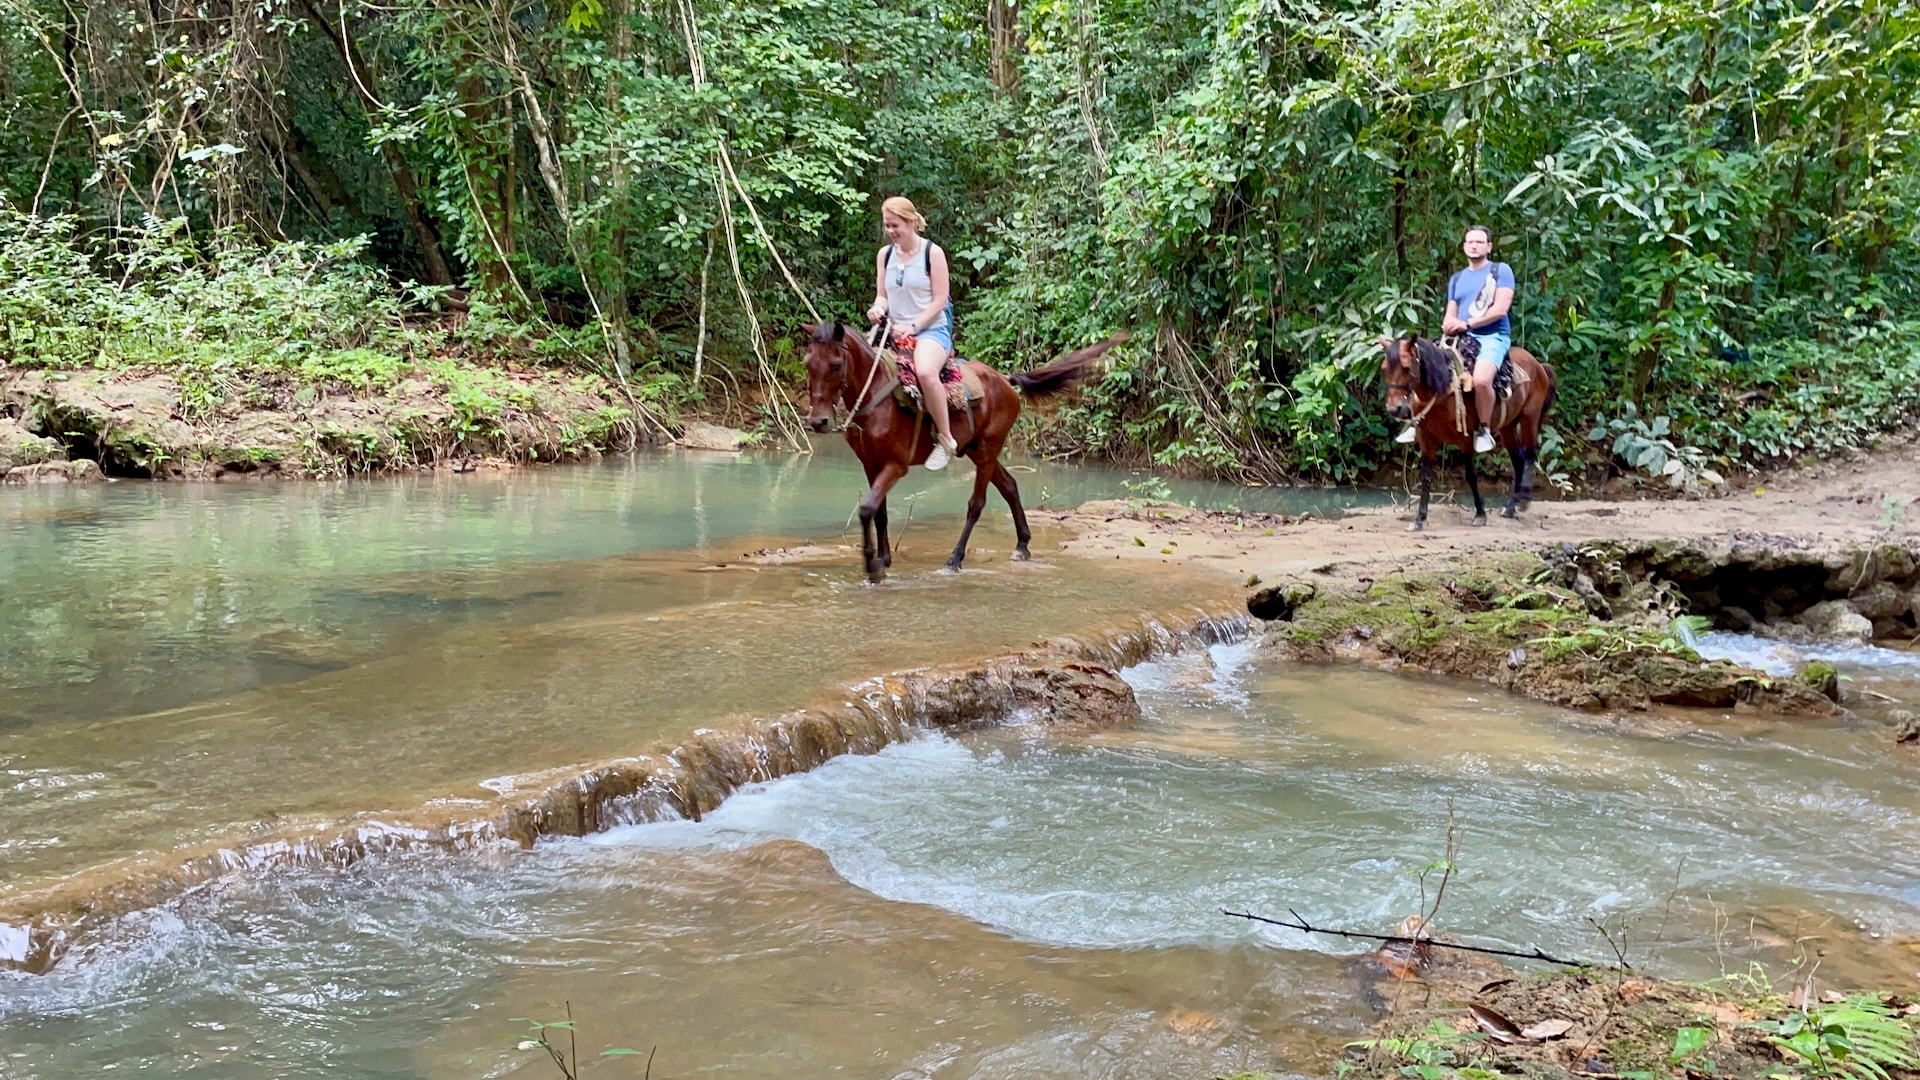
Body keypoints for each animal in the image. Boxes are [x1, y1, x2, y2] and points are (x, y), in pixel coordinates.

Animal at [804, 322, 1123, 583]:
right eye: (807, 364)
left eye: (836, 364)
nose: (818, 421)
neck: (875, 397)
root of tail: (1005, 379)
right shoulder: (870, 463)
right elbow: (879, 511)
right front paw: (884, 559)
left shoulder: (896, 464)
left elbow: (867, 509)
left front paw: (873, 567)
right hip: (974, 448)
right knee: (1010, 486)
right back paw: (1022, 545)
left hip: (990, 446)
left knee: (976, 504)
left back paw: (955, 559)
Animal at [1380, 336, 1557, 531]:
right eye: (1384, 368)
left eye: (1406, 367)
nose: (1395, 409)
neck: (1444, 389)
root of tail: (1539, 365)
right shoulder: (1426, 439)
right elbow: (1426, 477)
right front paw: (1419, 518)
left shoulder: (1465, 440)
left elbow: (1471, 476)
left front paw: (1480, 514)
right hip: (1508, 426)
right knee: (1518, 460)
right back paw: (1510, 507)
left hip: (1529, 418)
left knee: (1530, 454)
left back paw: (1523, 499)